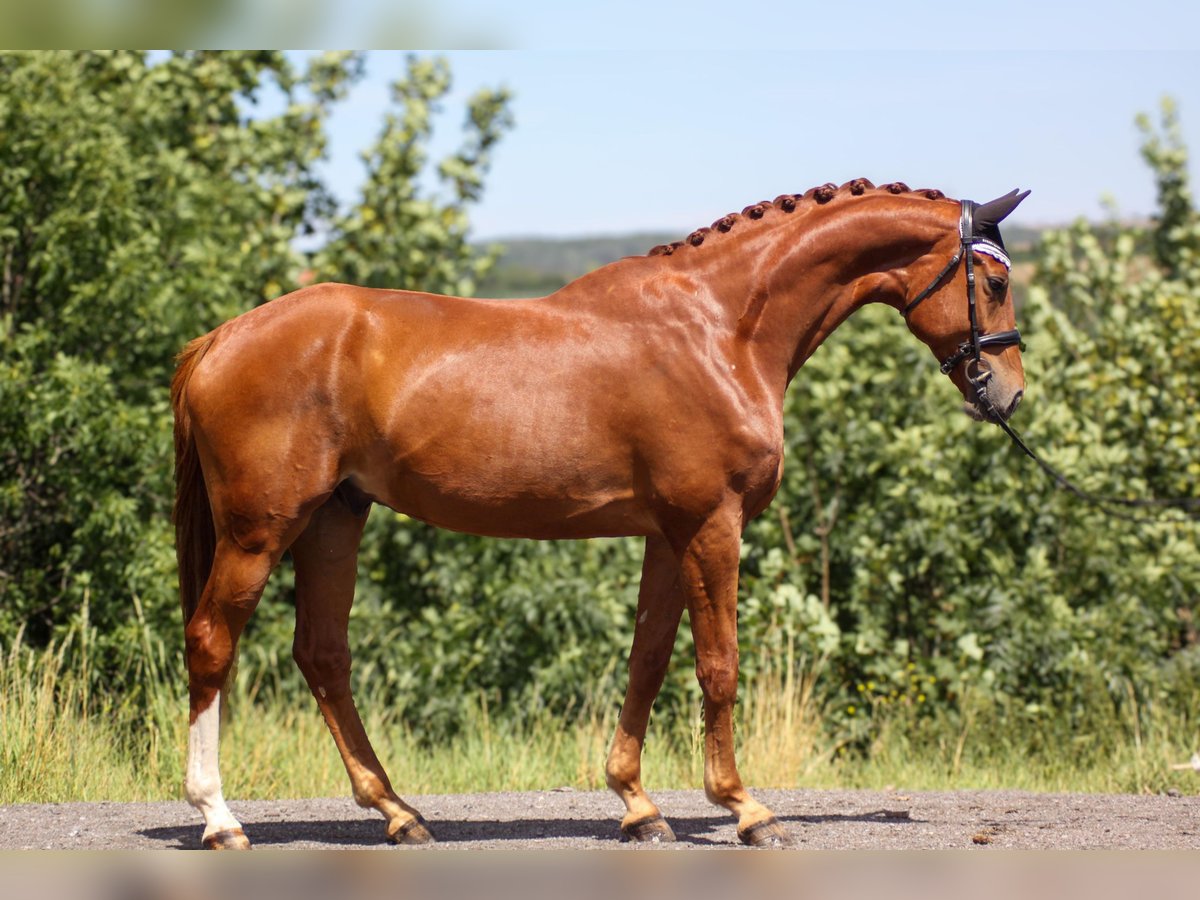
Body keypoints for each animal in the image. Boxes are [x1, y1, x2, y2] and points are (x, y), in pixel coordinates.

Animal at [174, 180, 1027, 849]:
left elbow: (647, 660)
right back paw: (220, 819)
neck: (720, 329)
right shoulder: (712, 526)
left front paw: (638, 806)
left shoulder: (668, 535)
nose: (1010, 393)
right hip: (260, 531)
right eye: (991, 281)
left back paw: (398, 813)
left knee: (322, 656)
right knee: (213, 641)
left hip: (334, 519)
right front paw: (745, 808)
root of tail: (218, 338)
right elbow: (717, 666)